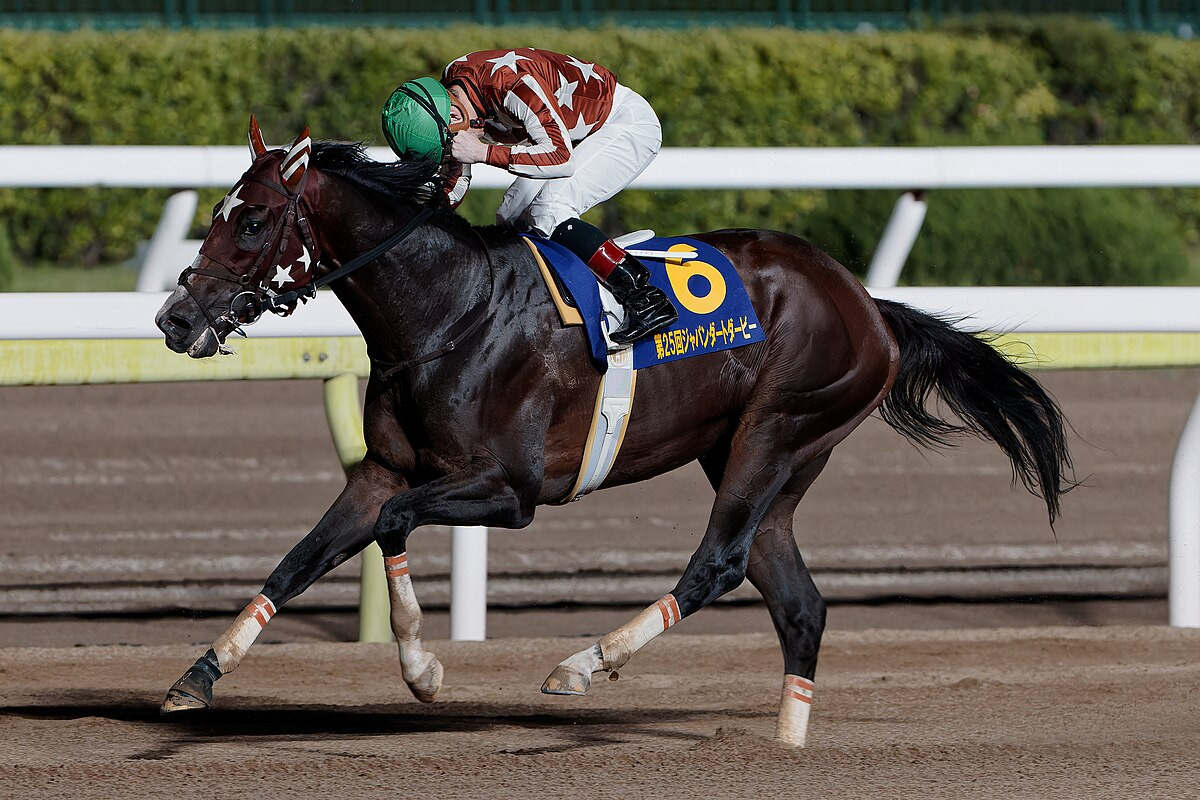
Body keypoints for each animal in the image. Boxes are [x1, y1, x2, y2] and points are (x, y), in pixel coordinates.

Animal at [154, 120, 1073, 747]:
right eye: (218, 211)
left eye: (252, 219)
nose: (174, 318)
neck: (450, 309)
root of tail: (868, 304)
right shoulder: (381, 466)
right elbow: (302, 557)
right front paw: (197, 676)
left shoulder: (511, 490)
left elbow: (392, 526)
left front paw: (423, 673)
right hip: (767, 455)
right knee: (796, 598)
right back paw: (786, 743)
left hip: (779, 428)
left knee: (718, 564)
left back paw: (582, 666)